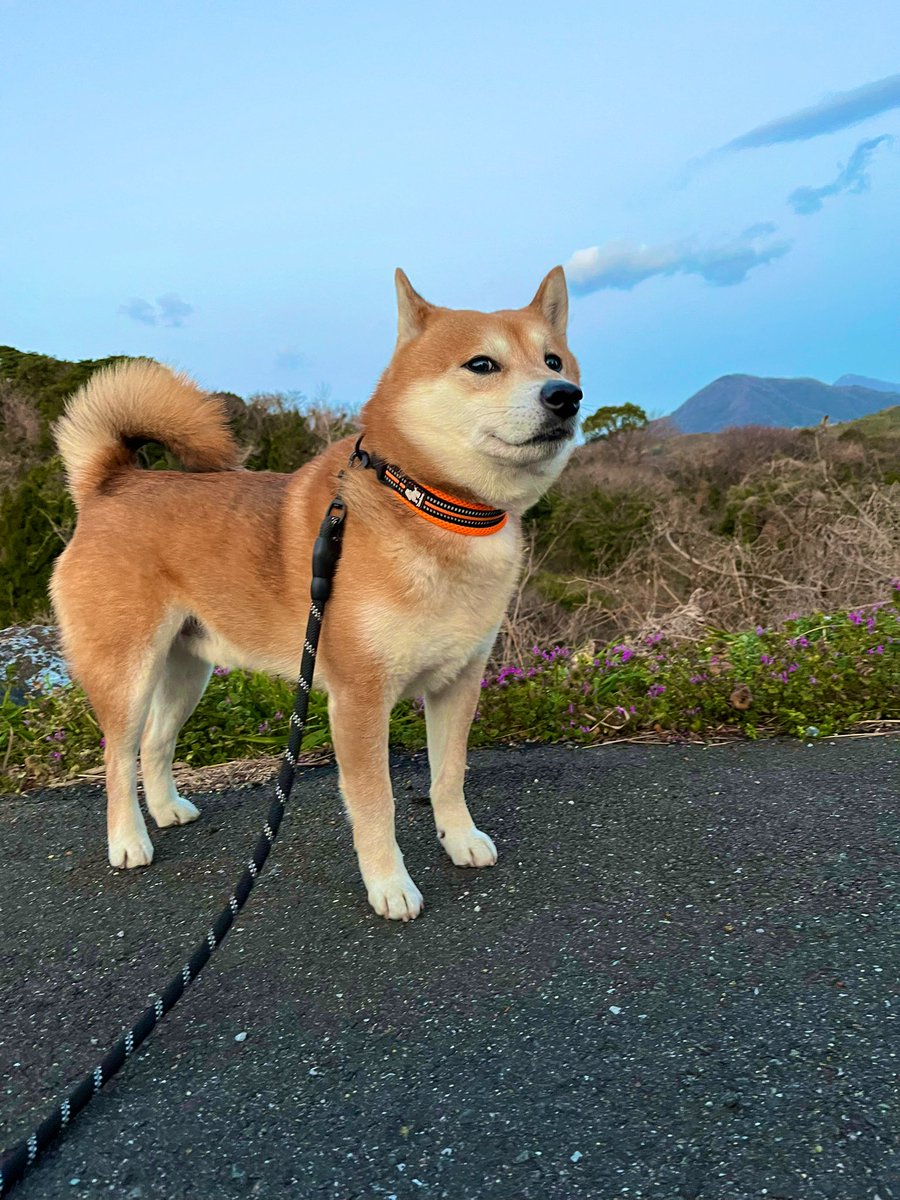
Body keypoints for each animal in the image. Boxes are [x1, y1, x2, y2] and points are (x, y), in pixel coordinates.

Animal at [51, 270, 585, 916]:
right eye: (482, 364)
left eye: (553, 360)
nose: (565, 395)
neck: (437, 509)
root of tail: (110, 484)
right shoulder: (359, 698)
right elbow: (377, 804)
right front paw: (390, 885)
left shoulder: (459, 681)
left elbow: (449, 775)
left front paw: (459, 838)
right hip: (128, 672)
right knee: (117, 755)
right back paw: (128, 839)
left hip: (187, 670)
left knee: (154, 743)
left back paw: (168, 810)